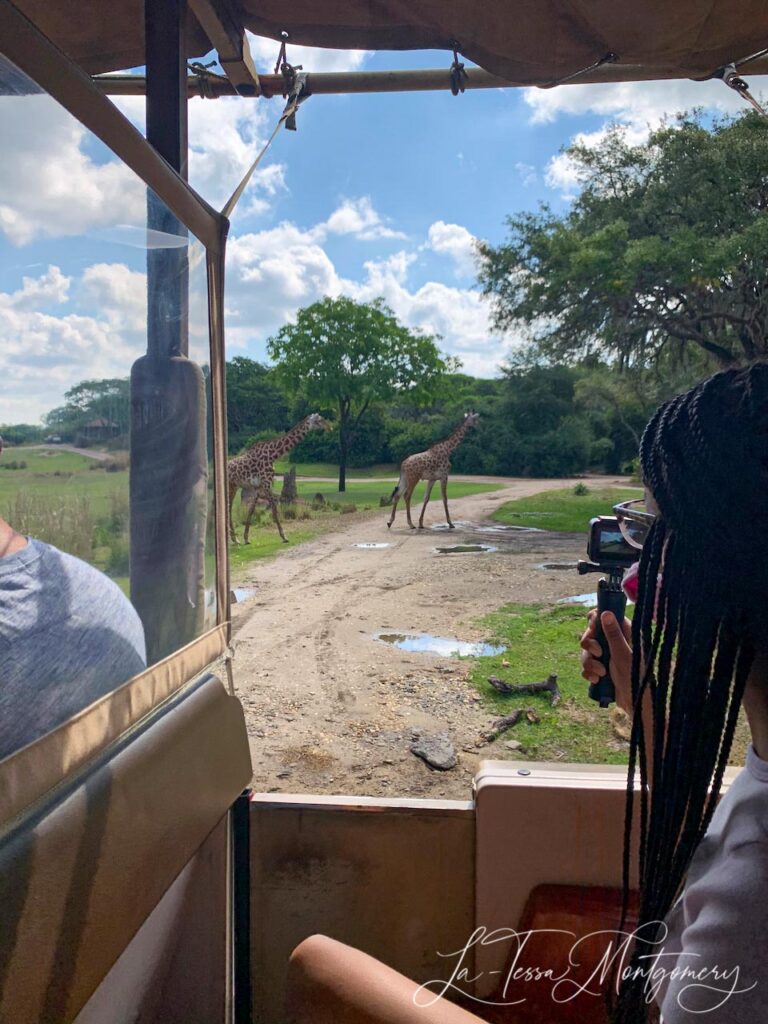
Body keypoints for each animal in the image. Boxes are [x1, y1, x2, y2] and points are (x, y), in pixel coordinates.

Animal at [225, 413, 327, 548]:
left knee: (228, 507)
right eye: (318, 421)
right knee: (228, 507)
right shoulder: (267, 484)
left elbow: (251, 509)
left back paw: (235, 539)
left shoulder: (259, 487)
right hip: (231, 486)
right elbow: (274, 508)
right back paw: (233, 538)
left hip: (234, 486)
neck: (273, 454)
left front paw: (246, 538)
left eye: (322, 419)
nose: (328, 427)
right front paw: (284, 537)